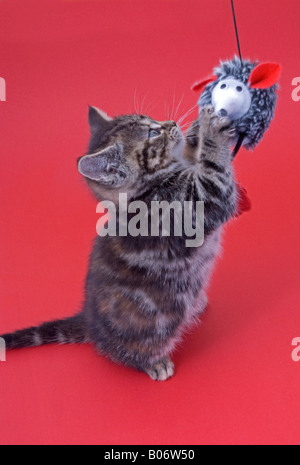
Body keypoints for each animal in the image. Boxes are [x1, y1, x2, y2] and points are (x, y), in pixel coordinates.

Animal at [0, 104, 237, 376]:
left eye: (152, 120)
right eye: (152, 133)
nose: (172, 123)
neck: (144, 193)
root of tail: (91, 322)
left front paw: (197, 127)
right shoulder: (199, 203)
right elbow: (214, 176)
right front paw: (211, 129)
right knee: (126, 352)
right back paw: (154, 363)